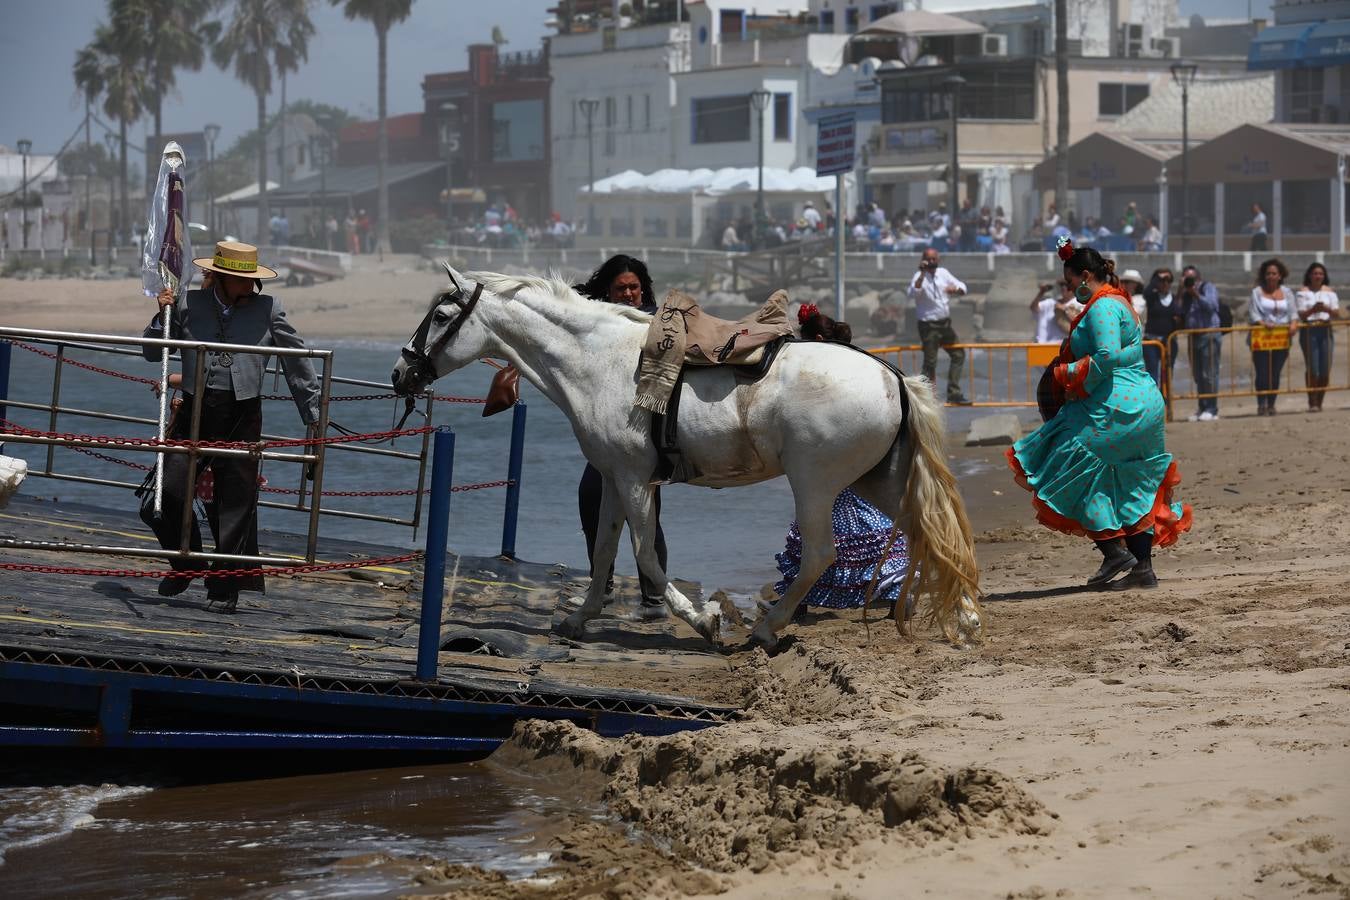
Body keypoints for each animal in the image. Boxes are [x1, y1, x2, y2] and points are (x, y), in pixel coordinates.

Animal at [391, 264, 982, 650]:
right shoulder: (614, 477)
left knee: (820, 555)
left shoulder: (635, 480)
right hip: (877, 480)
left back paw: (765, 629)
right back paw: (967, 618)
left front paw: (703, 621)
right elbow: (603, 550)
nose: (402, 373)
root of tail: (893, 377)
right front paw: (579, 620)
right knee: (933, 535)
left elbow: (645, 554)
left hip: (815, 484)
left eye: (441, 314)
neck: (599, 360)